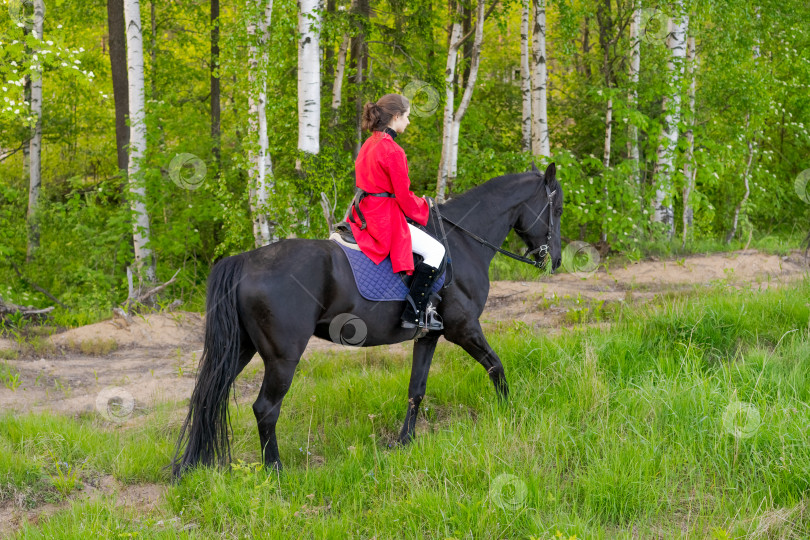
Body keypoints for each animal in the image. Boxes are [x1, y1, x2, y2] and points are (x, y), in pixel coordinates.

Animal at [170, 162, 560, 478]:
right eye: (555, 207)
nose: (554, 260)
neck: (462, 242)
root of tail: (246, 260)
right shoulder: (464, 329)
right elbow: (496, 367)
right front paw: (511, 415)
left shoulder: (428, 336)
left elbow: (416, 389)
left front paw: (404, 442)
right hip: (282, 358)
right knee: (265, 409)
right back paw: (276, 471)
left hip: (241, 349)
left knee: (207, 398)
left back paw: (190, 466)